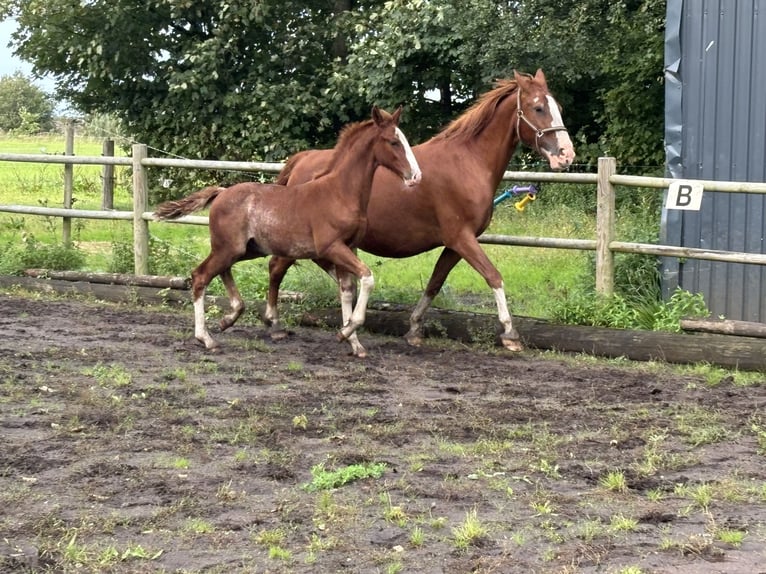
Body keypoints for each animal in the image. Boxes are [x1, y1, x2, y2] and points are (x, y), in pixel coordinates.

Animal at [153, 105, 424, 354]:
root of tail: (221, 193)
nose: (416, 177)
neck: (340, 193)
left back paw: (229, 318)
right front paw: (345, 331)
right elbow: (367, 279)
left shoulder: (349, 248)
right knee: (200, 276)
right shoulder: (332, 247)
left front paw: (354, 343)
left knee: (222, 271)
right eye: (393, 142)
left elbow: (348, 291)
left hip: (245, 249)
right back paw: (206, 338)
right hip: (229, 248)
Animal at [268, 68, 572, 356]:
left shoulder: (456, 244)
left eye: (558, 106)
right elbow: (493, 276)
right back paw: (276, 325)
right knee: (278, 267)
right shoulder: (461, 238)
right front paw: (510, 335)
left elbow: (435, 282)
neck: (469, 162)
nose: (567, 155)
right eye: (538, 108)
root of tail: (301, 160)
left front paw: (414, 329)